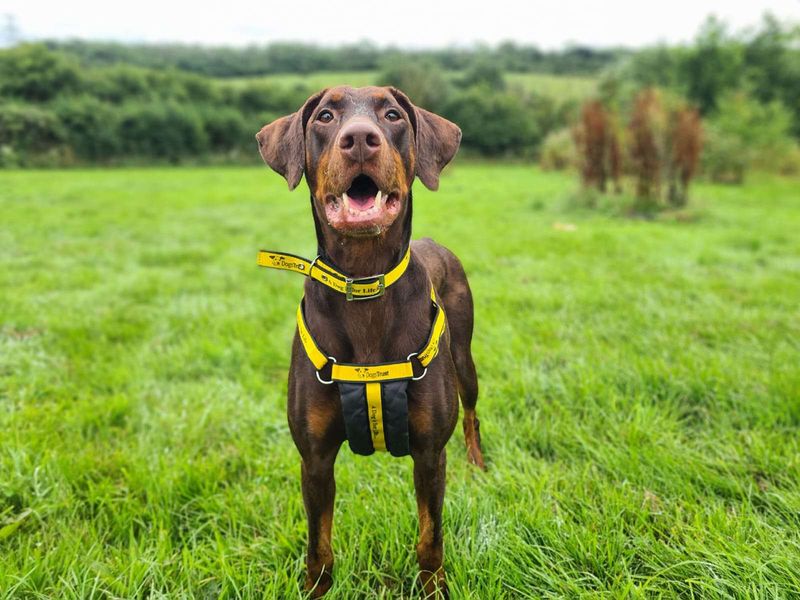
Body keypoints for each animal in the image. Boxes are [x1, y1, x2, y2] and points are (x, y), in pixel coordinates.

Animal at [256, 86, 488, 596]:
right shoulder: (314, 457)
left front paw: (434, 589)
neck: (364, 284)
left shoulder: (429, 453)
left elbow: (430, 537)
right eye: (325, 116)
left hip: (464, 358)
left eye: (393, 114)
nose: (360, 138)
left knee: (472, 413)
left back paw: (479, 464)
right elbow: (318, 545)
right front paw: (316, 590)